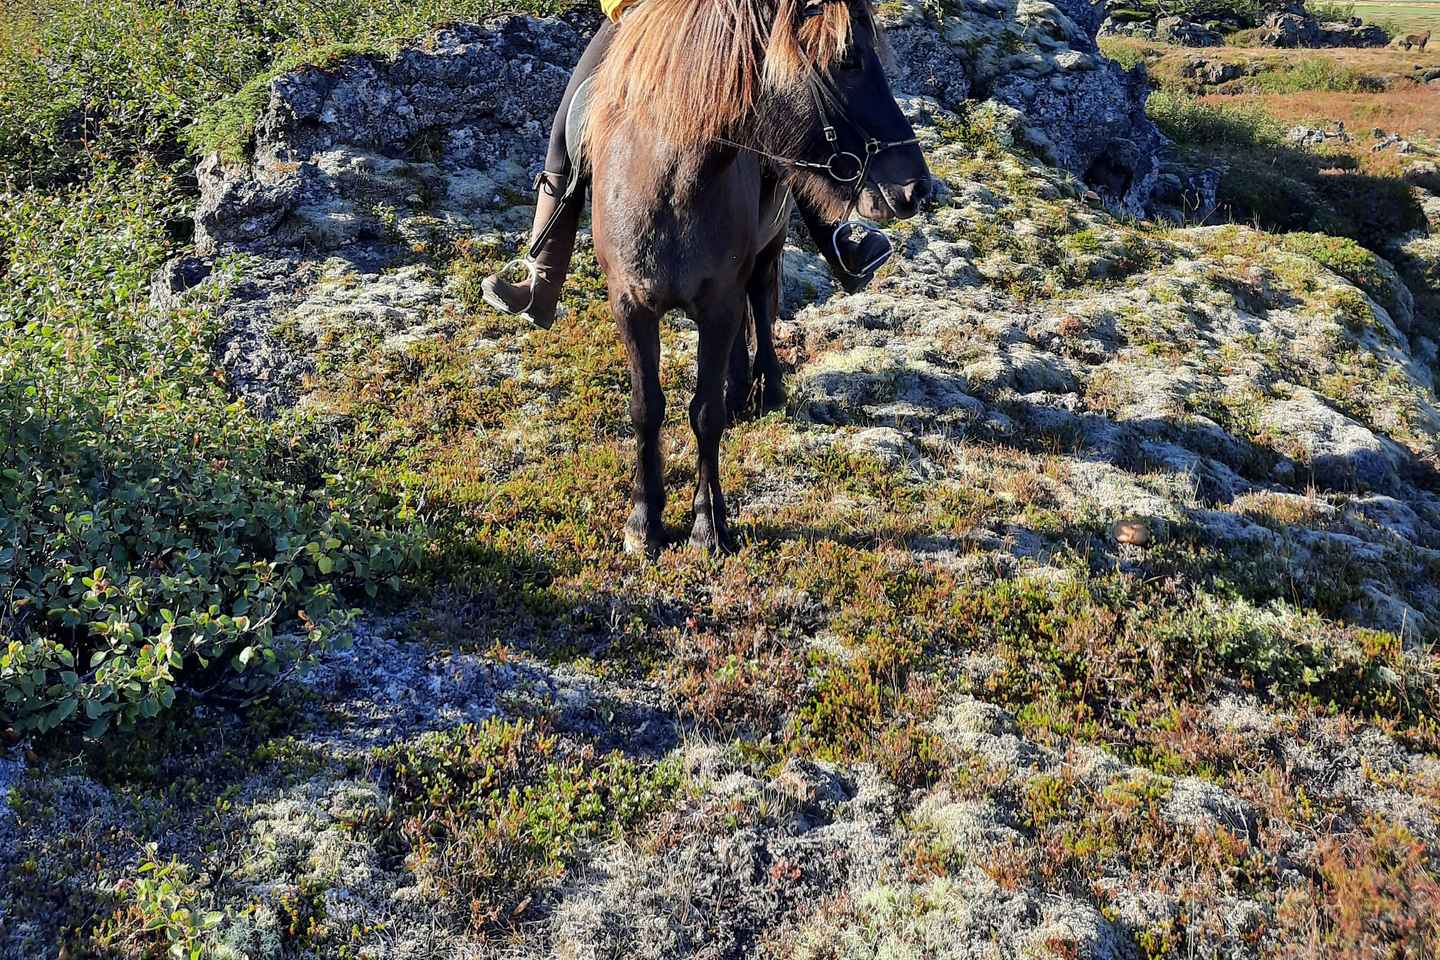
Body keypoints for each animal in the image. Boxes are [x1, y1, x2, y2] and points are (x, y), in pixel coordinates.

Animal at [582, 0, 931, 556]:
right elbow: (646, 408)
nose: (917, 187)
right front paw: (644, 520)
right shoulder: (630, 305)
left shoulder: (719, 304)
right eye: (849, 60)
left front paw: (708, 524)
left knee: (763, 305)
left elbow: (704, 413)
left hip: (770, 244)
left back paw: (765, 389)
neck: (669, 187)